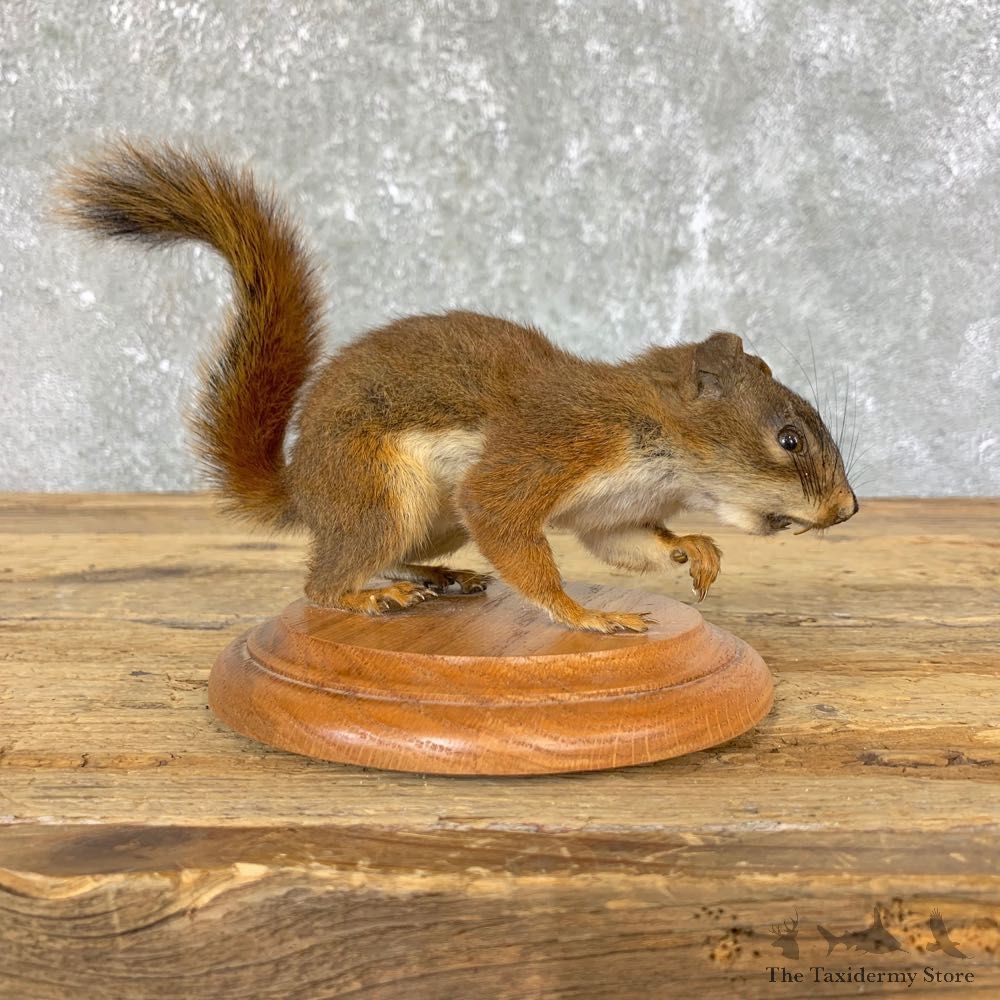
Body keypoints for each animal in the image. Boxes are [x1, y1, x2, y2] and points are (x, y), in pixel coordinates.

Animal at [56, 141, 858, 634]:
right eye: (789, 438)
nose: (848, 510)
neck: (657, 443)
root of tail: (304, 488)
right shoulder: (551, 445)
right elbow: (508, 524)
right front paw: (587, 615)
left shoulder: (611, 511)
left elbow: (628, 543)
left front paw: (694, 547)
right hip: (380, 492)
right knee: (323, 581)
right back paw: (371, 594)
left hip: (431, 516)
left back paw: (437, 577)